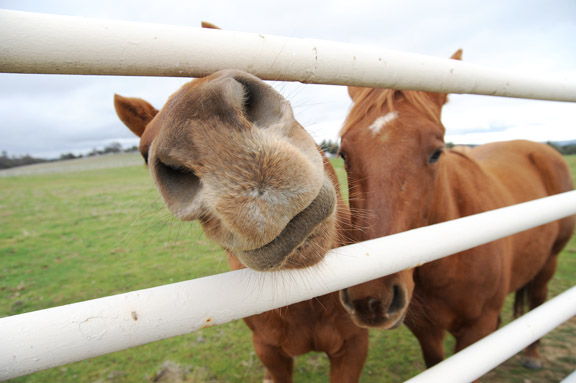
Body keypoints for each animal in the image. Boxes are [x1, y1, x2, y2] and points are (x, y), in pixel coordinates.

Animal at [338, 49, 572, 370]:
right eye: (343, 154)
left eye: (437, 153)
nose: (371, 299)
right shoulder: (426, 330)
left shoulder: (476, 329)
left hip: (549, 261)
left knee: (538, 297)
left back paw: (533, 355)